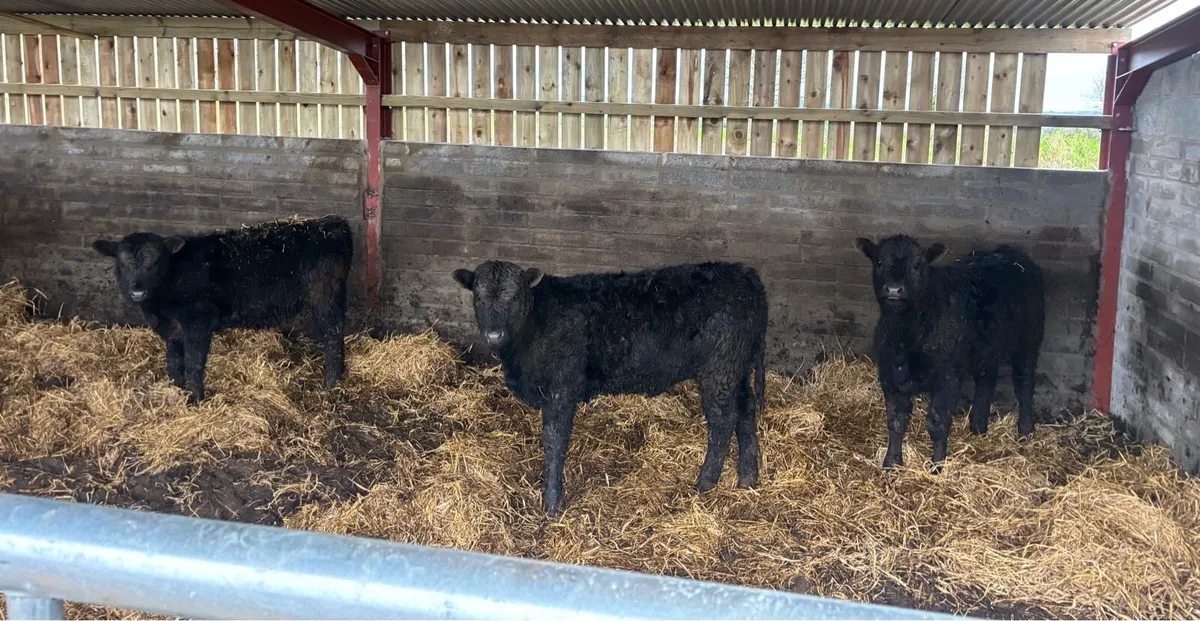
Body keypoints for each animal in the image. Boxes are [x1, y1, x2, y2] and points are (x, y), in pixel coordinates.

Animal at [92, 215, 353, 403]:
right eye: (122, 263)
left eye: (155, 262)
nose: (137, 292)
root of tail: (332, 223)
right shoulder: (172, 328)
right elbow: (174, 360)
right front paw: (176, 388)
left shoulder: (199, 319)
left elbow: (193, 362)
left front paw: (195, 399)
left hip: (324, 296)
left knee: (332, 336)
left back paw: (331, 383)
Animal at [452, 260, 768, 517]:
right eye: (478, 297)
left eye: (515, 296)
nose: (494, 335)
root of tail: (743, 272)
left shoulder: (561, 389)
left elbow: (554, 441)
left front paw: (552, 502)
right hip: (736, 369)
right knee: (745, 412)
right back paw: (747, 480)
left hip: (720, 368)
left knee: (722, 422)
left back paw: (706, 483)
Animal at [854, 234, 1045, 470]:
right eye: (879, 262)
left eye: (917, 265)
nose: (893, 289)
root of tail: (1010, 253)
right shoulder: (890, 375)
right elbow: (895, 421)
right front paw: (891, 462)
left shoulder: (947, 377)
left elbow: (937, 423)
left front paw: (936, 466)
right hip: (986, 349)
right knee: (986, 382)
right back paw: (978, 427)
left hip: (1028, 341)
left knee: (1024, 384)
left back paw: (1025, 431)